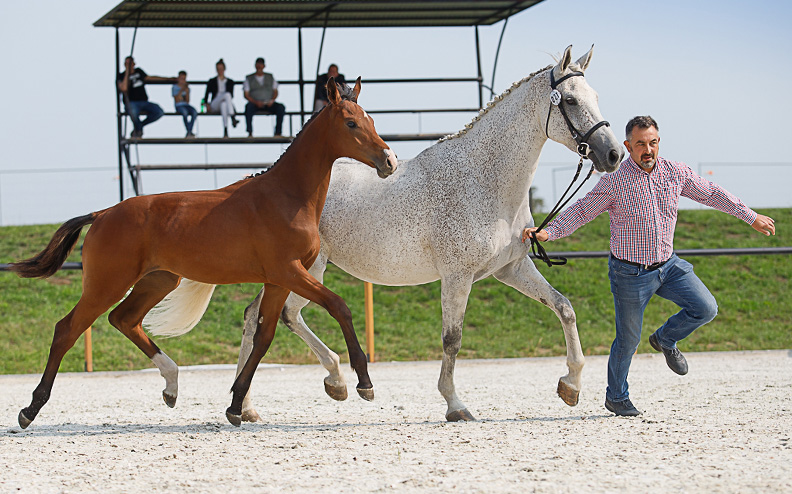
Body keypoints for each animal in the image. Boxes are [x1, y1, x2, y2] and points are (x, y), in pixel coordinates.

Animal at [9, 78, 398, 428]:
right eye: (351, 123)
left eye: (371, 121)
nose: (389, 160)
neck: (286, 195)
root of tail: (102, 213)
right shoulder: (289, 272)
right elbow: (338, 306)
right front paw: (364, 382)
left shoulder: (277, 280)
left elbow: (263, 338)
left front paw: (236, 406)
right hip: (106, 284)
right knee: (67, 329)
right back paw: (31, 409)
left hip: (158, 281)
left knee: (124, 319)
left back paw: (171, 384)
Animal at [233, 46, 624, 423]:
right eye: (570, 100)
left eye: (595, 96)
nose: (613, 154)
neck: (484, 181)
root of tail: (264, 183)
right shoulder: (457, 276)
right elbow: (452, 339)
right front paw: (455, 405)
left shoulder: (510, 268)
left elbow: (564, 307)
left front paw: (571, 385)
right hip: (305, 270)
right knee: (274, 316)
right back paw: (299, 391)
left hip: (296, 273)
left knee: (265, 316)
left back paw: (272, 399)